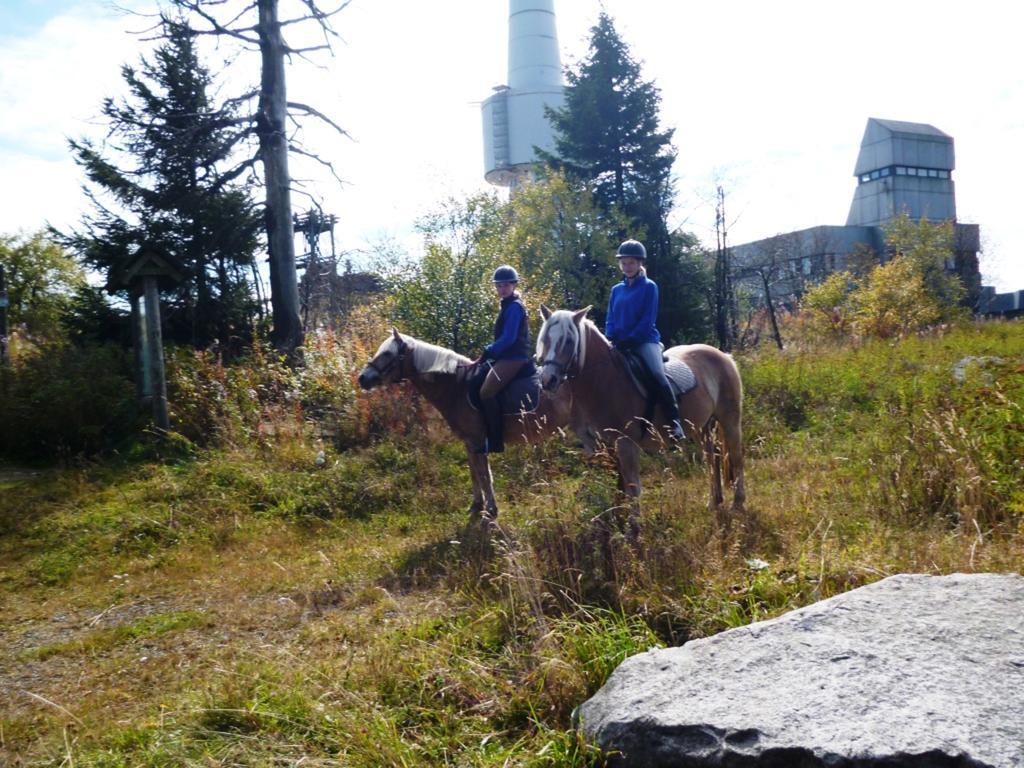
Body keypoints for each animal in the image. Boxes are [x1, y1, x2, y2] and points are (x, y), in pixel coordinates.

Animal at [356, 327, 573, 520]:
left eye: (387, 353)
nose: (362, 378)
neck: (458, 387)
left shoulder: (478, 441)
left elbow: (484, 475)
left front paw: (491, 509)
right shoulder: (469, 442)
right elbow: (474, 472)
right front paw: (477, 505)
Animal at [536, 307, 745, 524]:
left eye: (568, 341)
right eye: (545, 338)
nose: (548, 380)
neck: (603, 380)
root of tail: (723, 356)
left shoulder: (626, 443)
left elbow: (632, 487)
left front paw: (633, 527)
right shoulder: (601, 446)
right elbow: (618, 484)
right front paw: (617, 520)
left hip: (729, 419)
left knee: (736, 456)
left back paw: (737, 503)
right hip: (702, 427)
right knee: (713, 457)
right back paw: (714, 502)